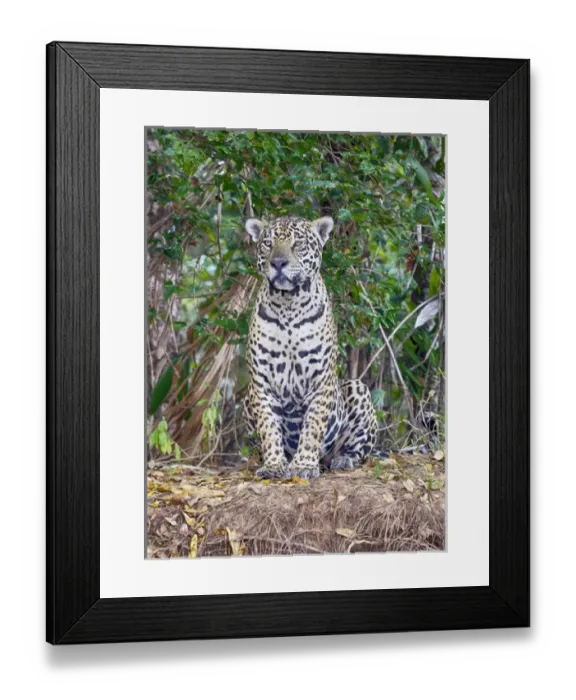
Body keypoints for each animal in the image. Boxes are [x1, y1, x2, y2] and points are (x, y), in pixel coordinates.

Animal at [243, 215, 377, 480]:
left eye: (298, 244)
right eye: (268, 244)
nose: (278, 263)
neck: (288, 305)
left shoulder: (321, 382)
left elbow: (313, 425)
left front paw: (304, 464)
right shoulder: (261, 383)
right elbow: (268, 427)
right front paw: (274, 464)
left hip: (357, 390)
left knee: (358, 448)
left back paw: (342, 459)